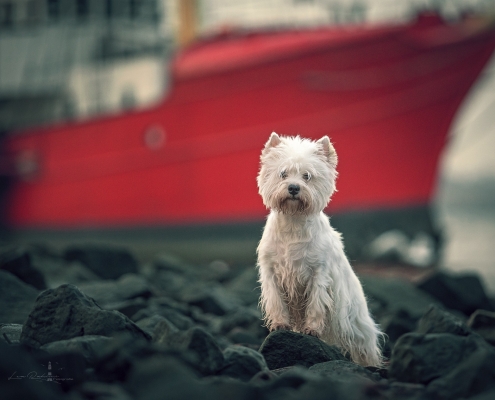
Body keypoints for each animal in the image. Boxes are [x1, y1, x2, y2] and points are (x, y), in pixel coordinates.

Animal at [258, 133, 386, 368]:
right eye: (283, 173)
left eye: (307, 176)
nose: (293, 188)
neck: (293, 224)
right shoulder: (271, 271)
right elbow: (277, 301)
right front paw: (280, 325)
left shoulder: (318, 272)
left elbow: (316, 304)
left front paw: (312, 330)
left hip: (356, 321)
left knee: (364, 347)